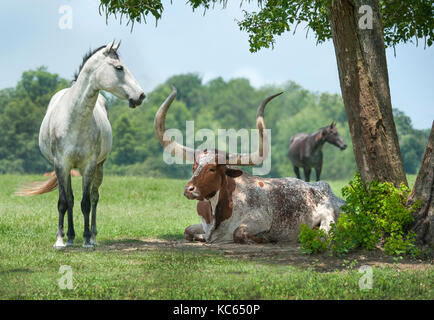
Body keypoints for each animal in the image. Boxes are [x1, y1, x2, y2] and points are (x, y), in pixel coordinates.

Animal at [19, 40, 146, 250]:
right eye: (119, 68)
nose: (141, 96)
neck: (75, 119)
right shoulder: (61, 165)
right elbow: (64, 202)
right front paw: (60, 240)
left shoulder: (89, 166)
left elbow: (86, 202)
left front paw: (87, 240)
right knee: (69, 199)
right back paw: (70, 238)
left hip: (99, 167)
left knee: (94, 197)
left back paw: (92, 236)